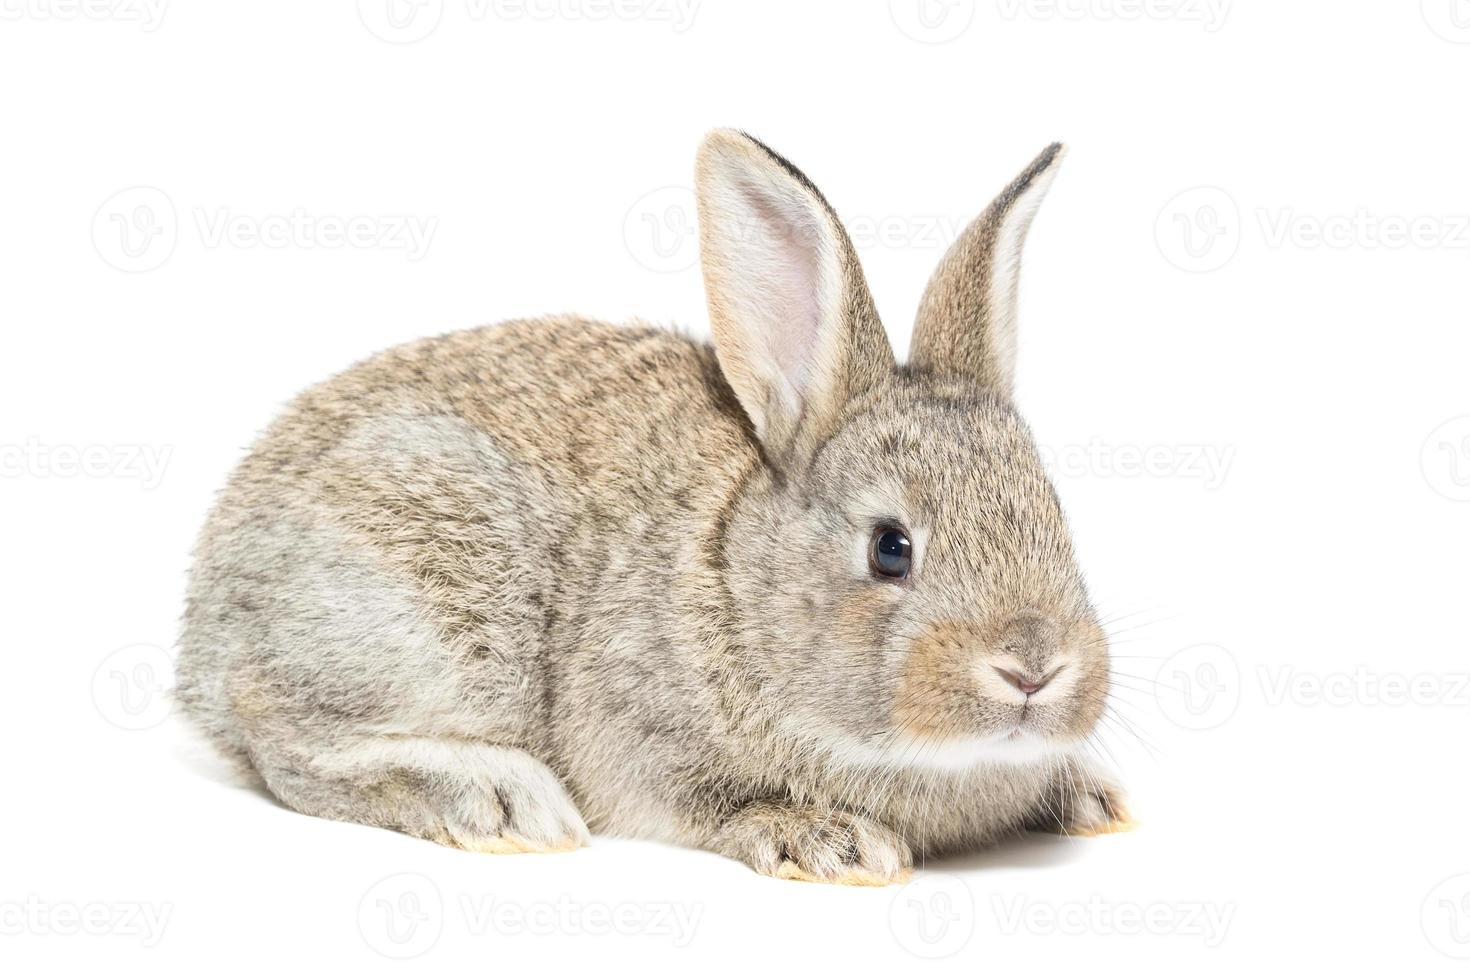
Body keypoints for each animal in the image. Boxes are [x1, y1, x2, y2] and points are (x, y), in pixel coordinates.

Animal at [177, 130, 1128, 887]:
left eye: (1055, 518)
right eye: (890, 548)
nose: (1034, 669)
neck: (741, 587)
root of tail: (204, 631)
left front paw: (1091, 796)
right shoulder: (646, 739)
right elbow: (713, 801)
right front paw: (832, 842)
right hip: (418, 603)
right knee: (286, 738)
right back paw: (502, 800)